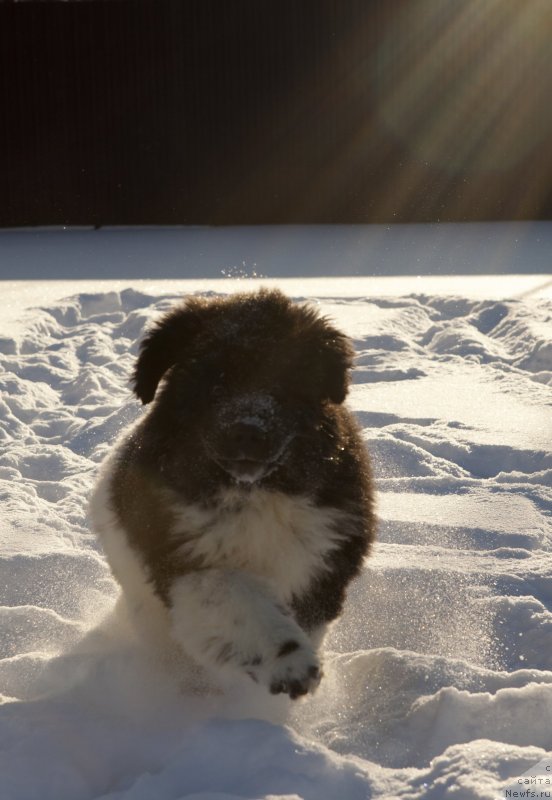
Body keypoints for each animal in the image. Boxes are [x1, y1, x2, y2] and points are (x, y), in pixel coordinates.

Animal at [90, 290, 376, 700]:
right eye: (215, 383)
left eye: (283, 381)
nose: (248, 429)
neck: (255, 491)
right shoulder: (188, 559)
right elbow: (242, 602)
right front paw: (289, 663)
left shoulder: (324, 561)